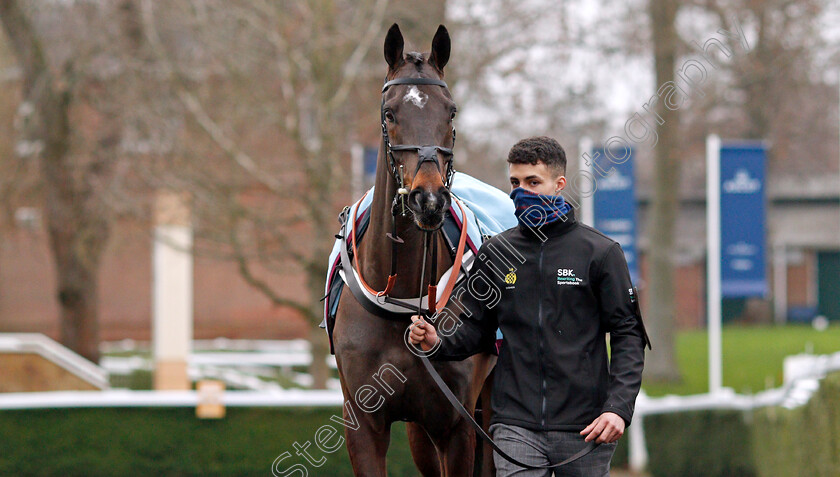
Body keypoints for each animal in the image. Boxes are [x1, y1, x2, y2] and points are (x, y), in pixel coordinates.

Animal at [332, 24, 496, 474]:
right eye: (390, 113)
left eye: (451, 111)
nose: (429, 199)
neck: (403, 299)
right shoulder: (364, 425)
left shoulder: (456, 428)